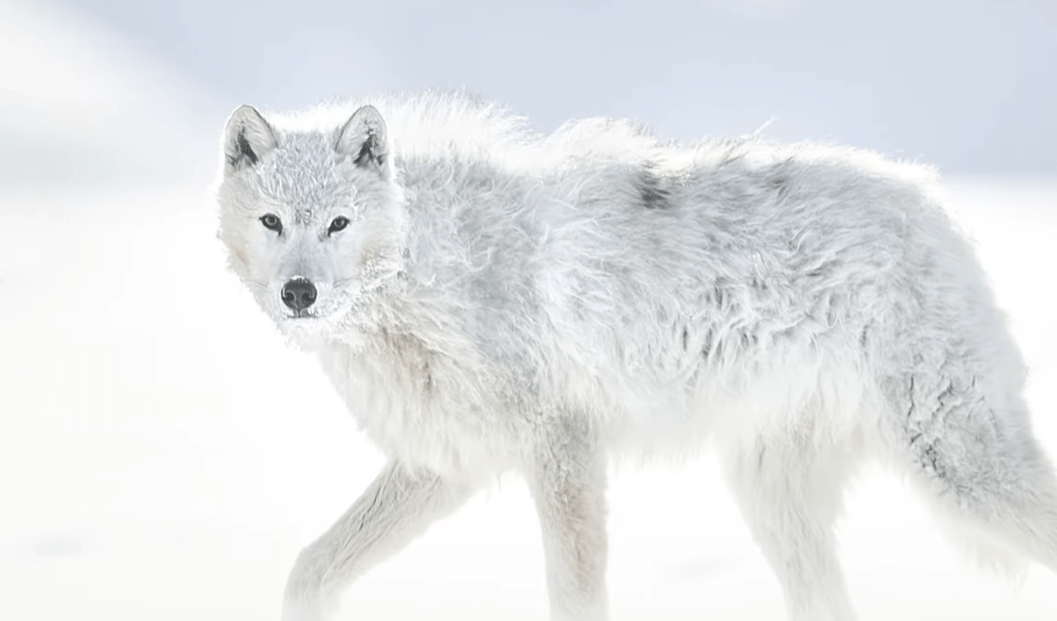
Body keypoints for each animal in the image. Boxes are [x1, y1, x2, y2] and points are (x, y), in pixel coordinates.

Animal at [216, 90, 1057, 621]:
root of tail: (933, 202)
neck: (428, 267)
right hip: (772, 496)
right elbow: (309, 567)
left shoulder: (561, 450)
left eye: (337, 223)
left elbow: (575, 594)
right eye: (272, 221)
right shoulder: (445, 462)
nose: (298, 292)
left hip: (956, 469)